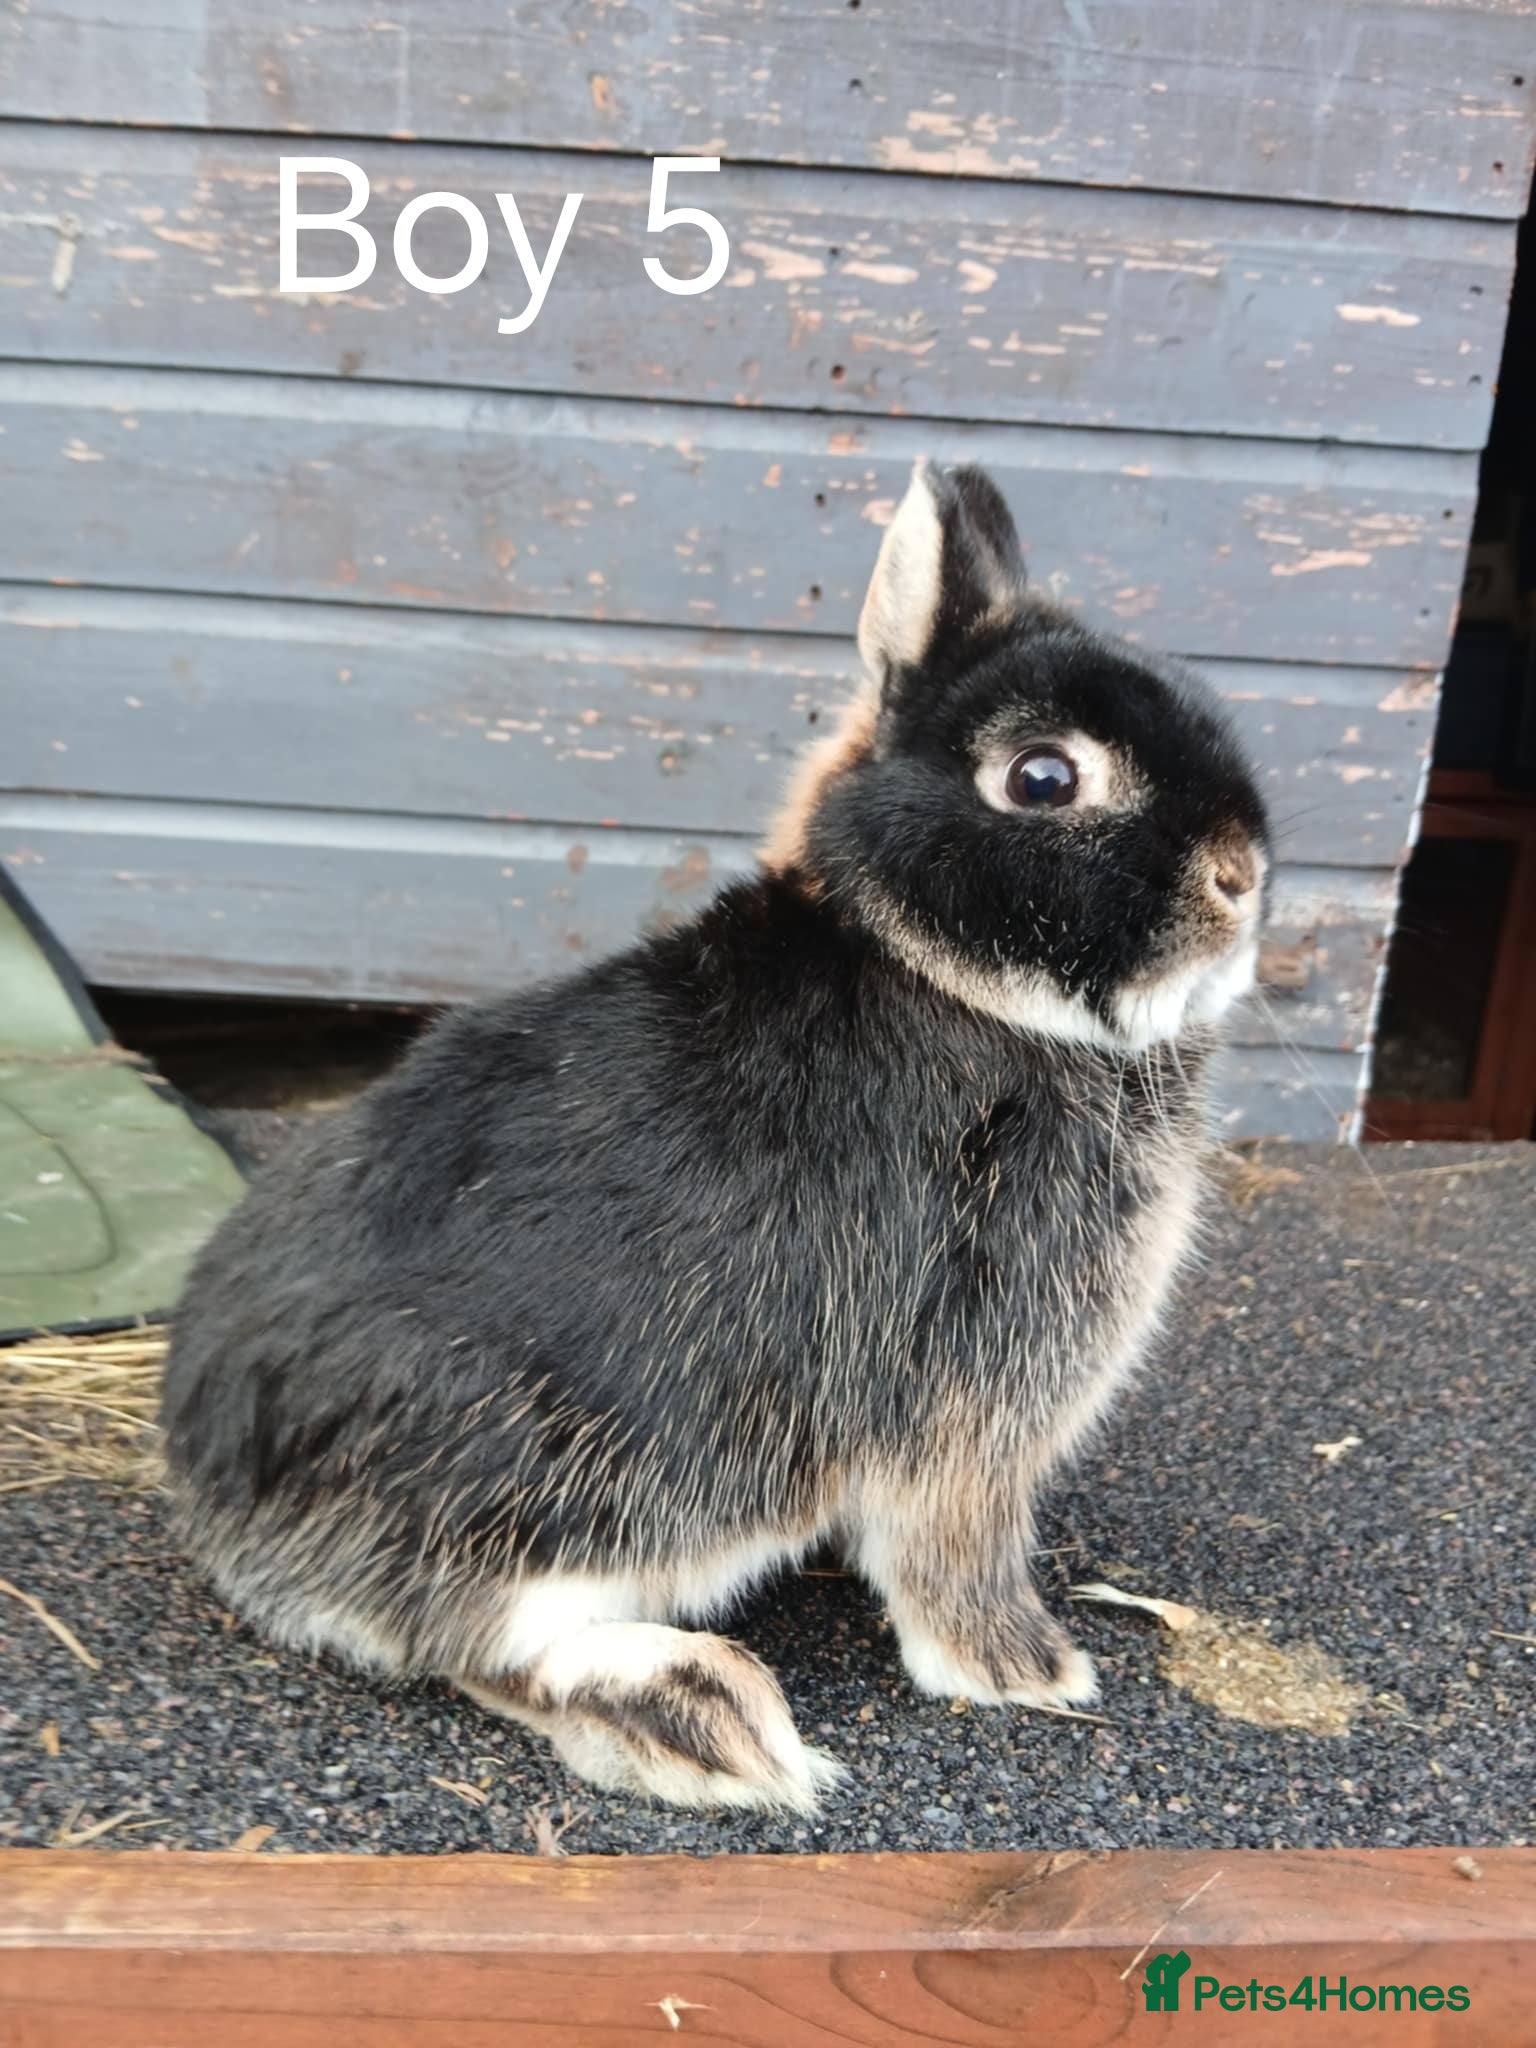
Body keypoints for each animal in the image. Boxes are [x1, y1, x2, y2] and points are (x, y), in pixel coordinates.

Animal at [161, 459, 1269, 1814]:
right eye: (1045, 777)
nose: (1243, 875)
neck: (938, 970)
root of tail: (216, 1490)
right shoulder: (971, 1394)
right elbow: (956, 1548)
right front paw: (1026, 1669)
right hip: (568, 1483)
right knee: (485, 1643)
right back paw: (706, 1713)